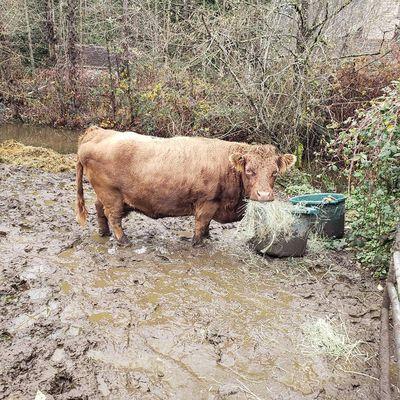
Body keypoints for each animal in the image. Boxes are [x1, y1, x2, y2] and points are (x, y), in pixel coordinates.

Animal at [76, 127, 296, 247]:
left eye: (275, 172)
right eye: (249, 170)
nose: (264, 195)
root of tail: (97, 132)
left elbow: (206, 225)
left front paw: (208, 236)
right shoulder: (207, 202)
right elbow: (201, 223)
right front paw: (198, 242)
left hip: (105, 194)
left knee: (99, 208)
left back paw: (103, 232)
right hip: (111, 194)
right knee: (113, 217)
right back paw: (123, 240)